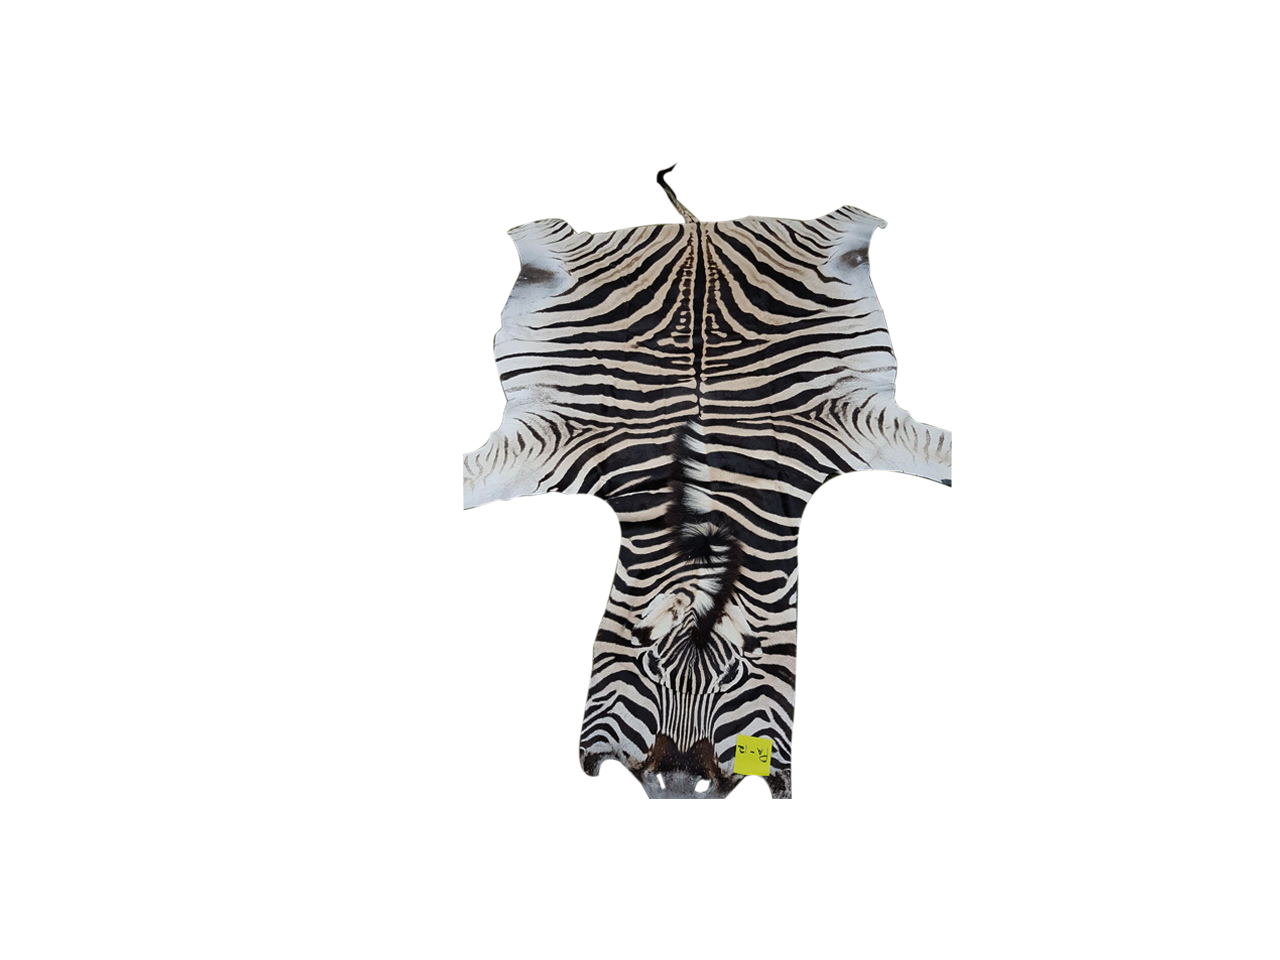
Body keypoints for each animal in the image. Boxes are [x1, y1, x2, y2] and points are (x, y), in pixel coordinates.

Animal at [461, 170, 953, 798]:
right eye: (648, 665)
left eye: (735, 675)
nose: (676, 784)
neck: (709, 509)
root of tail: (698, 227)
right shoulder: (558, 437)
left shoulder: (851, 425)